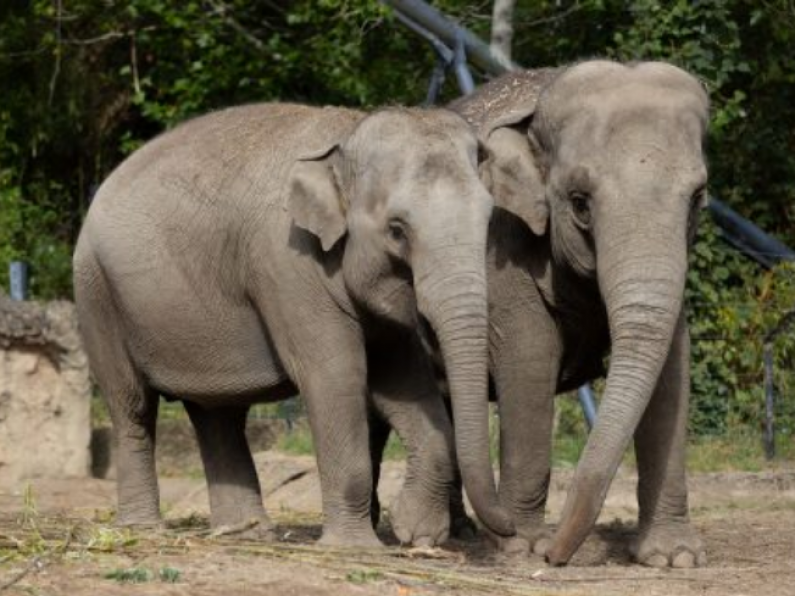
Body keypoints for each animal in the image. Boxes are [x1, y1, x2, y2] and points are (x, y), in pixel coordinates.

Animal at [71, 101, 520, 544]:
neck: (346, 137)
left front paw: (417, 534)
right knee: (132, 406)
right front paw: (356, 547)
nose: (510, 528)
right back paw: (143, 530)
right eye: (397, 230)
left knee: (217, 412)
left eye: (488, 220)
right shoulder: (289, 266)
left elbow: (404, 382)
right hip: (97, 294)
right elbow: (337, 376)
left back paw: (247, 533)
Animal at [374, 58, 708, 564]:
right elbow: (529, 356)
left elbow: (673, 370)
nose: (558, 554)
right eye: (580, 203)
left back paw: (460, 532)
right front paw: (525, 547)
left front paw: (674, 557)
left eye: (697, 199)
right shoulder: (499, 247)